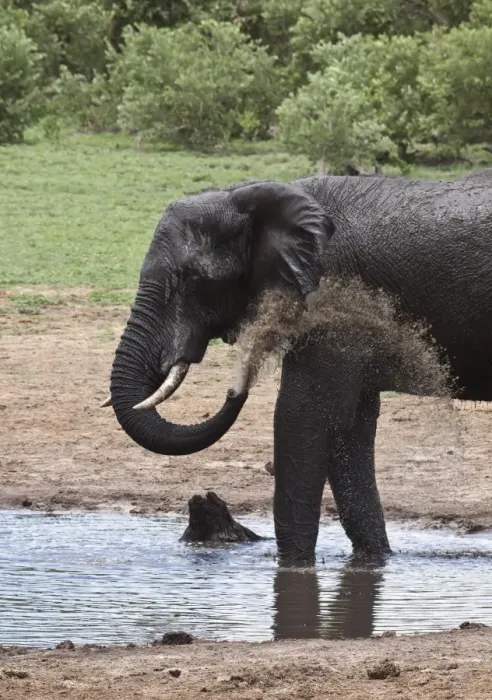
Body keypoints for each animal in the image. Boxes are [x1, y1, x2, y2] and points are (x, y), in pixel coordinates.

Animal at [105, 168, 492, 566]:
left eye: (192, 278)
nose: (235, 386)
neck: (249, 196)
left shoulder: (333, 294)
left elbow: (301, 415)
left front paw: (293, 567)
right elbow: (350, 427)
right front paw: (371, 563)